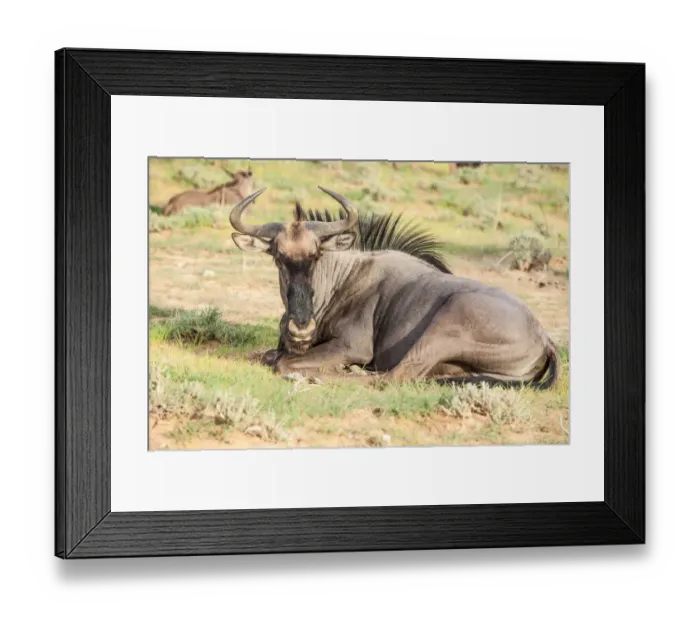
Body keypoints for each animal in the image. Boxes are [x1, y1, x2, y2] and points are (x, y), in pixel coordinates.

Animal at [229, 187, 559, 388]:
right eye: (278, 256)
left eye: (316, 255)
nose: (300, 329)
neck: (342, 279)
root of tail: (544, 338)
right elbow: (267, 355)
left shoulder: (352, 346)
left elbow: (282, 362)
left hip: (444, 325)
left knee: (393, 376)